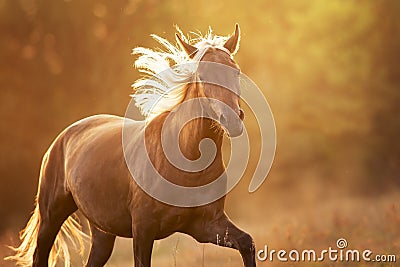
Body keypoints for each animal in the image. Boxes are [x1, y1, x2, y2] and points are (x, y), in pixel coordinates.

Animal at [6, 24, 256, 267]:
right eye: (202, 76)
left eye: (236, 72)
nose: (232, 120)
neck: (187, 160)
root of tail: (61, 139)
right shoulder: (143, 228)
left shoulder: (206, 225)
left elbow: (247, 243)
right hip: (51, 217)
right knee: (39, 256)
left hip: (103, 232)